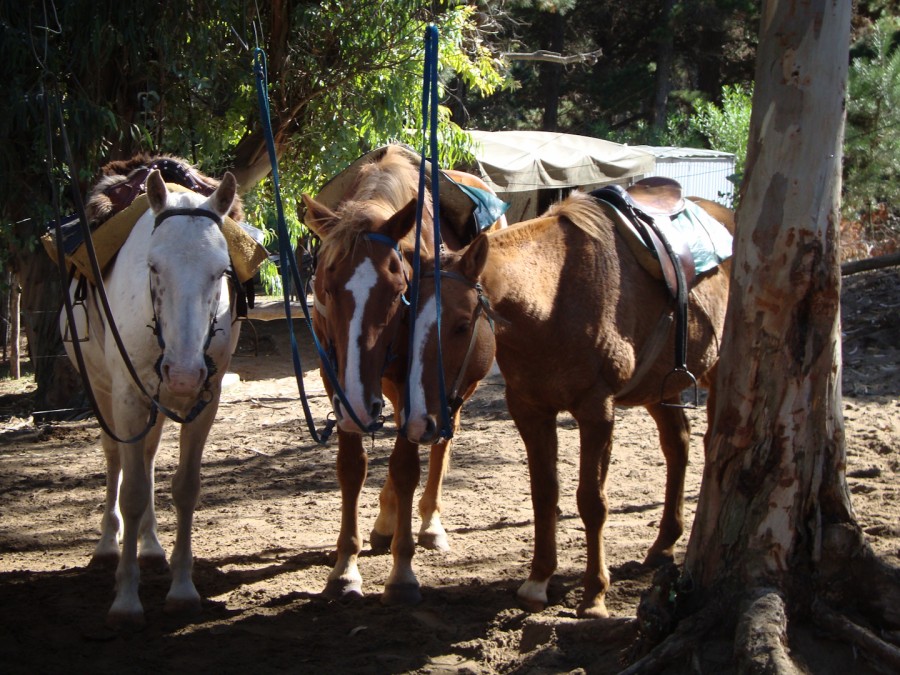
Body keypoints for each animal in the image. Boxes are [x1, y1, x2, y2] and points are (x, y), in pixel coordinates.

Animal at [302, 145, 506, 604]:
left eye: (398, 292)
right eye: (324, 287)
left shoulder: (416, 386)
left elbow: (406, 466)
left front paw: (402, 572)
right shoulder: (337, 381)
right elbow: (352, 468)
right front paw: (345, 568)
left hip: (452, 387)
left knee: (441, 440)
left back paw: (428, 524)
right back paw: (385, 521)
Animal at [408, 189, 732, 616]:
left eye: (462, 325)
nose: (419, 423)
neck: (553, 301)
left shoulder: (596, 411)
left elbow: (592, 501)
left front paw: (594, 594)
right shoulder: (530, 411)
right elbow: (544, 494)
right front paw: (538, 580)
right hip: (661, 388)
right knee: (677, 446)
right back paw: (664, 543)